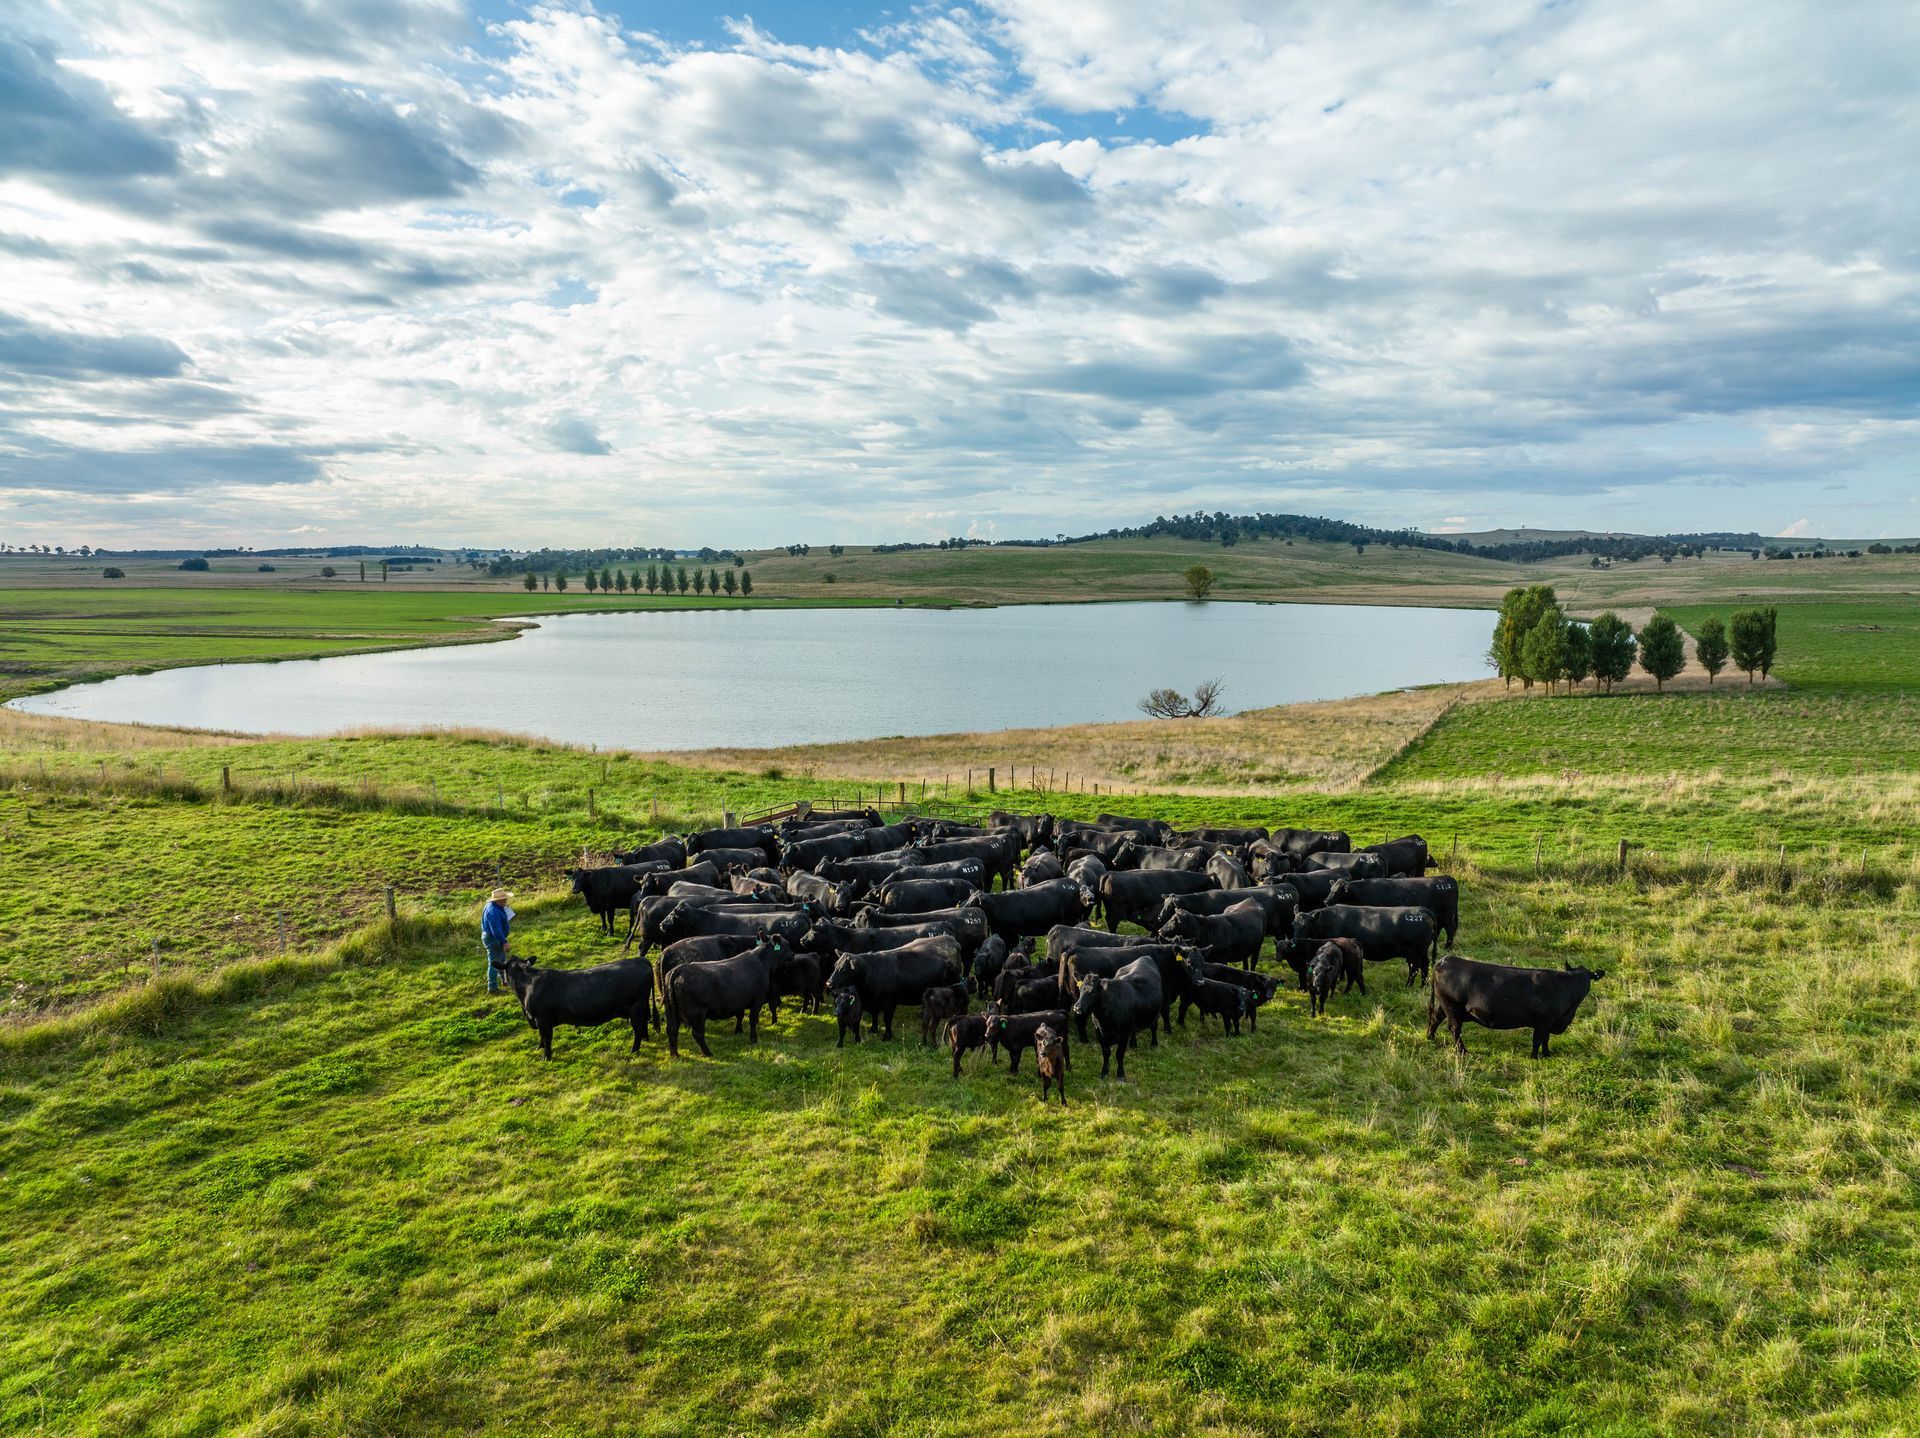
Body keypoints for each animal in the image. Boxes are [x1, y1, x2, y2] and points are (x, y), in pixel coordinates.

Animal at [498, 955, 654, 1060]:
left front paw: (546, 1057)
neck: (528, 983)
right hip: (643, 1006)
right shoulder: (538, 1020)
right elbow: (542, 1037)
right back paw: (646, 1040)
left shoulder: (542, 1019)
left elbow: (546, 1037)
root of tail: (638, 960)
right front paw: (538, 1048)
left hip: (636, 1008)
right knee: (645, 1023)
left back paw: (634, 1050)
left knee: (638, 1028)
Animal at [828, 936, 964, 1040]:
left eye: (844, 969)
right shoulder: (873, 1002)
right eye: (834, 965)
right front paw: (873, 1030)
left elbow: (887, 1019)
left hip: (955, 983)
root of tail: (950, 939)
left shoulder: (890, 1002)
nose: (828, 983)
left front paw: (887, 1036)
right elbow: (874, 1016)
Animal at [1292, 906, 1438, 985]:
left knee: (1415, 968)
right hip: (1422, 952)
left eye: (1305, 926)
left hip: (1415, 953)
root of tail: (1420, 909)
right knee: (1425, 966)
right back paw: (1422, 985)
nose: (1294, 939)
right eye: (1293, 924)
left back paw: (1408, 985)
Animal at [1329, 876, 1461, 949]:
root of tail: (1446, 878)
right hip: (1440, 916)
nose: (1326, 901)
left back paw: (1448, 947)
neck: (1362, 891)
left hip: (1447, 915)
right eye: (1331, 889)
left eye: (1338, 892)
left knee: (1451, 930)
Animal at [1427, 956, 1606, 1057]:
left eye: (1589, 977)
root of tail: (1446, 959)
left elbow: (1546, 1039)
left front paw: (1547, 1054)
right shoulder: (1544, 1020)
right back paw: (1463, 1052)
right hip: (1452, 1009)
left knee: (1435, 1019)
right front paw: (1534, 1056)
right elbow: (1538, 1039)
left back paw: (1430, 1037)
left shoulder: (1549, 1021)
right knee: (1455, 1030)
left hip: (1444, 1006)